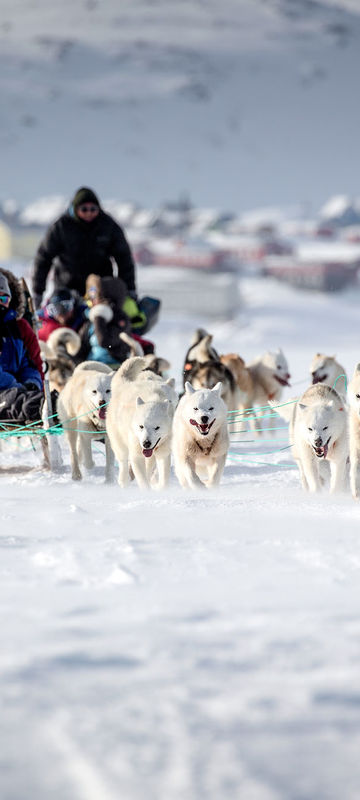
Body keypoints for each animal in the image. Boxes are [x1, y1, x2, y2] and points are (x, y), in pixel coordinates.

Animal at [105, 354, 177, 488]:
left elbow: (162, 480)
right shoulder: (136, 454)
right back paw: (124, 481)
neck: (154, 398)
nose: (146, 443)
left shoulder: (163, 454)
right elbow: (143, 481)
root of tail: (123, 384)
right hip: (120, 444)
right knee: (123, 462)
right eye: (141, 426)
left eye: (157, 427)